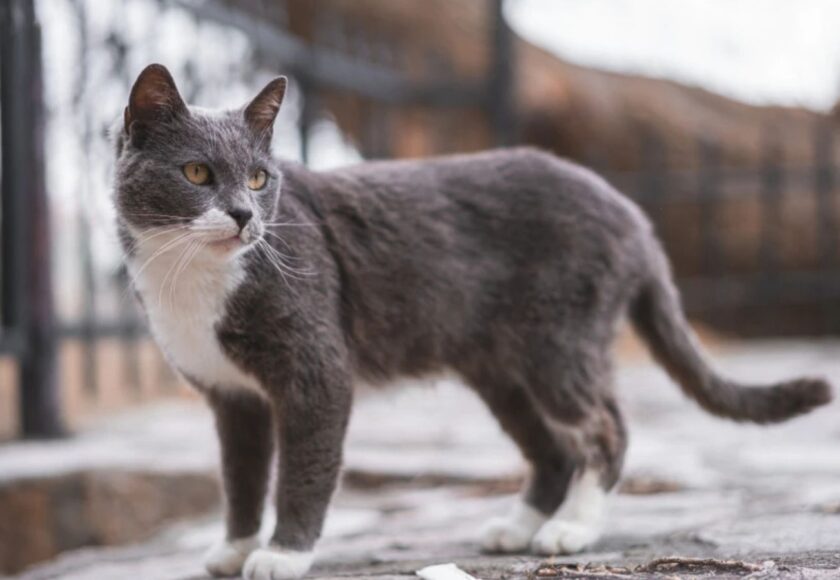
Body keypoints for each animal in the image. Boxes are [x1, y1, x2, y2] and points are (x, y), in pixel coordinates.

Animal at [113, 64, 832, 580]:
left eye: (262, 179)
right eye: (197, 172)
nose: (244, 215)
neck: (192, 281)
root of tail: (633, 214)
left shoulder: (316, 373)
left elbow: (304, 469)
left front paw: (284, 555)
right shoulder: (231, 396)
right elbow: (239, 475)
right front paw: (234, 548)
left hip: (559, 344)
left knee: (604, 428)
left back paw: (572, 528)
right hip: (501, 369)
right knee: (551, 449)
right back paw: (518, 527)